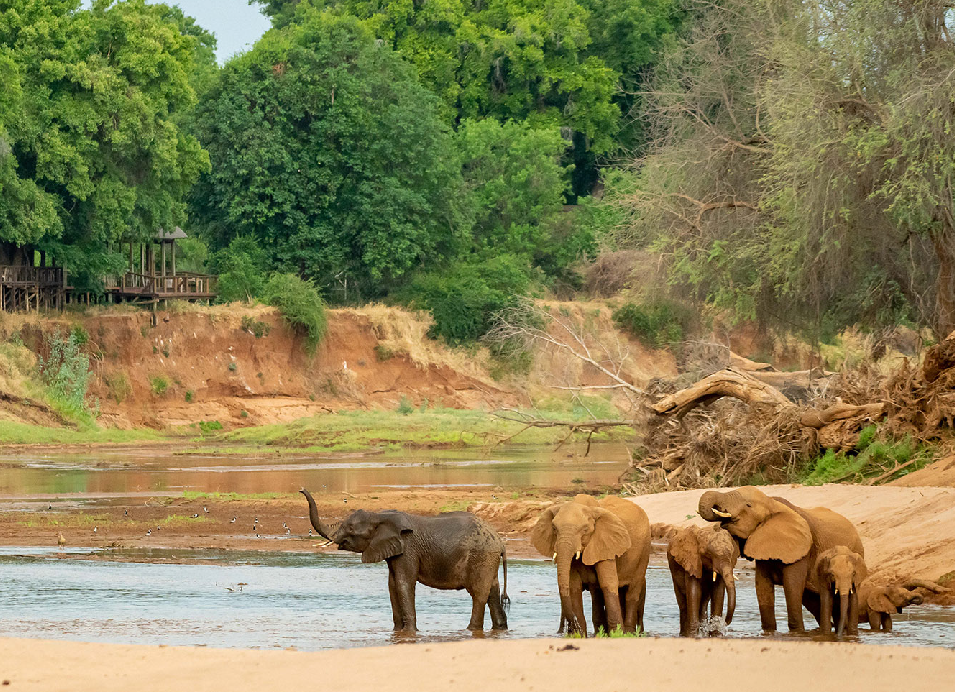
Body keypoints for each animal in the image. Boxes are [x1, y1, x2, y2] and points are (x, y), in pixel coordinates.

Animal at [300, 489, 508, 633]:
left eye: (350, 529)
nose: (301, 490)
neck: (380, 516)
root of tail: (500, 541)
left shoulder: (408, 549)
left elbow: (403, 583)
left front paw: (410, 633)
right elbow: (392, 585)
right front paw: (397, 632)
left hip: (481, 557)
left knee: (478, 594)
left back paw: (471, 630)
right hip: (488, 560)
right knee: (492, 591)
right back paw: (500, 629)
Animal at [532, 494, 650, 636]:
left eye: (584, 530)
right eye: (554, 528)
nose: (573, 626)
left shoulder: (606, 543)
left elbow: (608, 584)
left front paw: (616, 634)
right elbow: (574, 586)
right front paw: (579, 635)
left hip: (644, 551)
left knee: (632, 591)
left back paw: (630, 633)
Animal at [698, 486, 864, 633]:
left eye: (748, 505)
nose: (723, 623)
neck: (772, 504)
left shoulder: (801, 551)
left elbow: (792, 587)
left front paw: (797, 632)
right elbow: (762, 587)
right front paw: (769, 631)